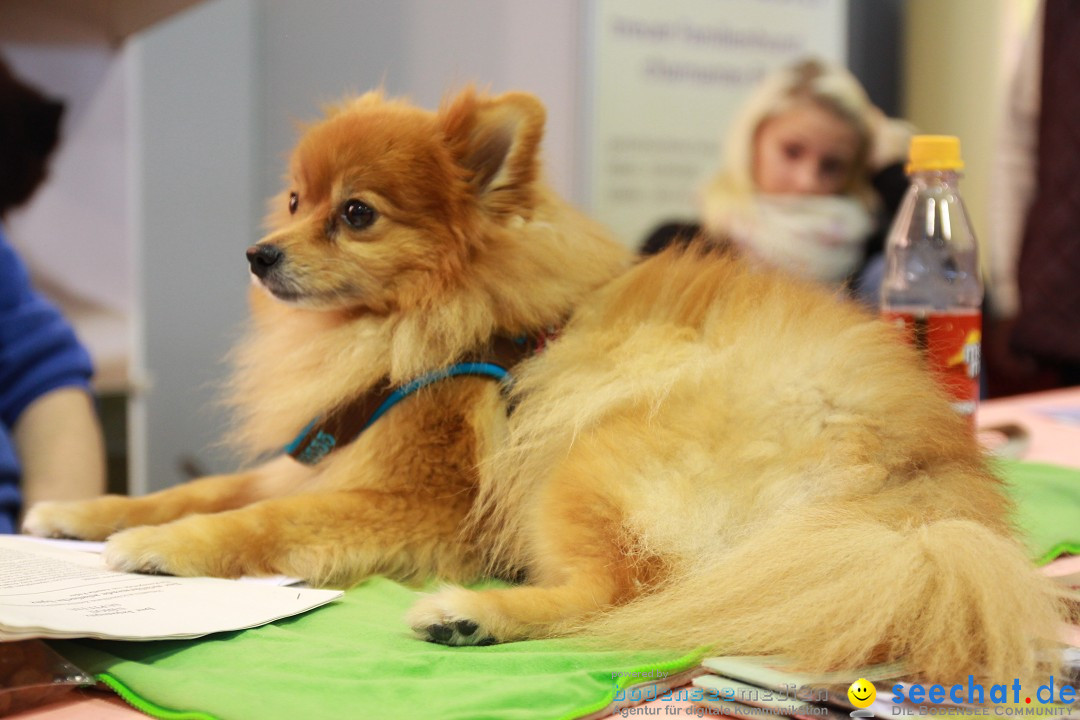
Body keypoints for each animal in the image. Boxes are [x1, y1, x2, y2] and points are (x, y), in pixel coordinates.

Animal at [25, 88, 1062, 682]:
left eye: (355, 215)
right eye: (291, 199)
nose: (259, 252)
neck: (413, 326)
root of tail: (921, 495)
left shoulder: (422, 497)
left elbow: (260, 519)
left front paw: (163, 548)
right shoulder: (326, 451)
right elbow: (204, 485)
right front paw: (82, 513)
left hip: (584, 453)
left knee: (622, 597)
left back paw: (469, 616)